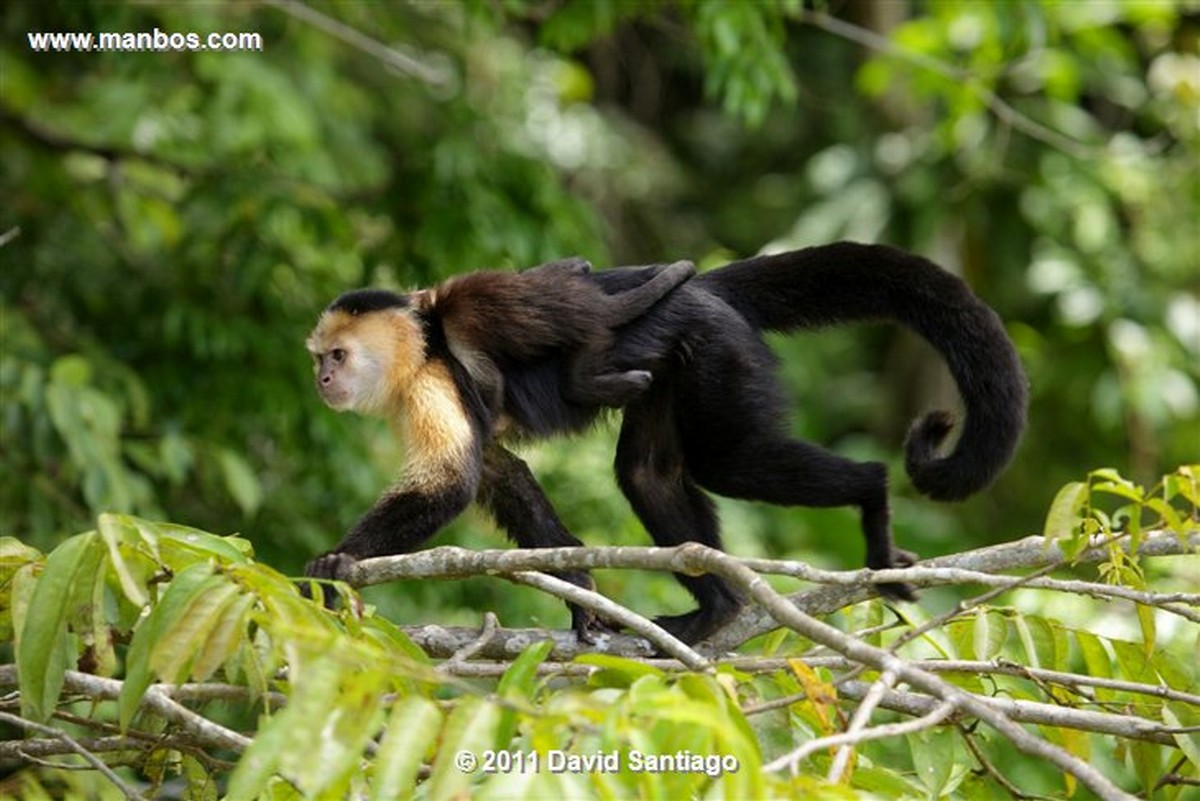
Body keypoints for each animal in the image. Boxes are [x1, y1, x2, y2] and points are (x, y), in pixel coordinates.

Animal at [304, 242, 1027, 642]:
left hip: (717, 351)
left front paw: (338, 561)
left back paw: (872, 496)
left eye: (338, 354)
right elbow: (501, 475)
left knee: (732, 463)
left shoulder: (433, 379)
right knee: (646, 474)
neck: (425, 342)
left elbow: (452, 481)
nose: (321, 378)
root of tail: (702, 288)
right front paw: (581, 591)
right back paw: (717, 610)